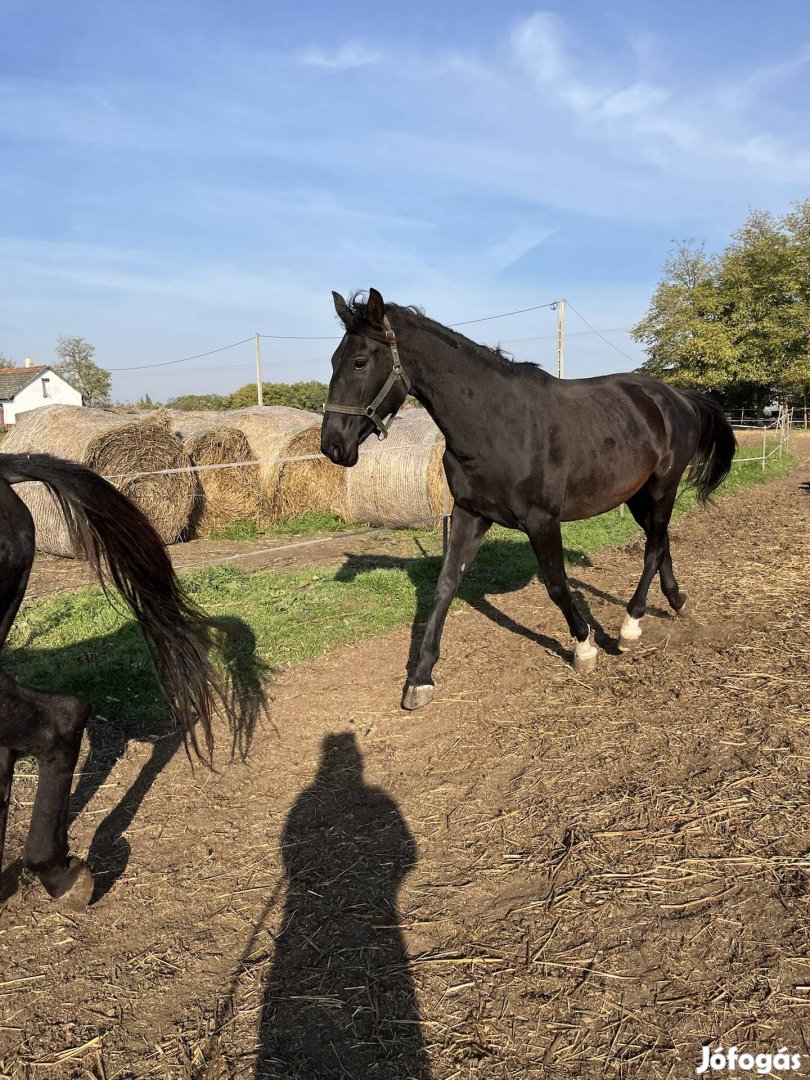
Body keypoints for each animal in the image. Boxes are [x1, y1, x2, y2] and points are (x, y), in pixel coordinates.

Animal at [319, 289, 738, 708]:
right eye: (333, 360)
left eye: (359, 361)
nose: (332, 445)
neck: (495, 425)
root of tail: (676, 397)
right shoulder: (469, 514)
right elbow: (444, 587)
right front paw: (420, 680)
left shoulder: (542, 521)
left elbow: (557, 585)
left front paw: (585, 648)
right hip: (638, 496)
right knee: (660, 540)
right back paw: (677, 602)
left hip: (663, 486)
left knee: (652, 549)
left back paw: (629, 627)